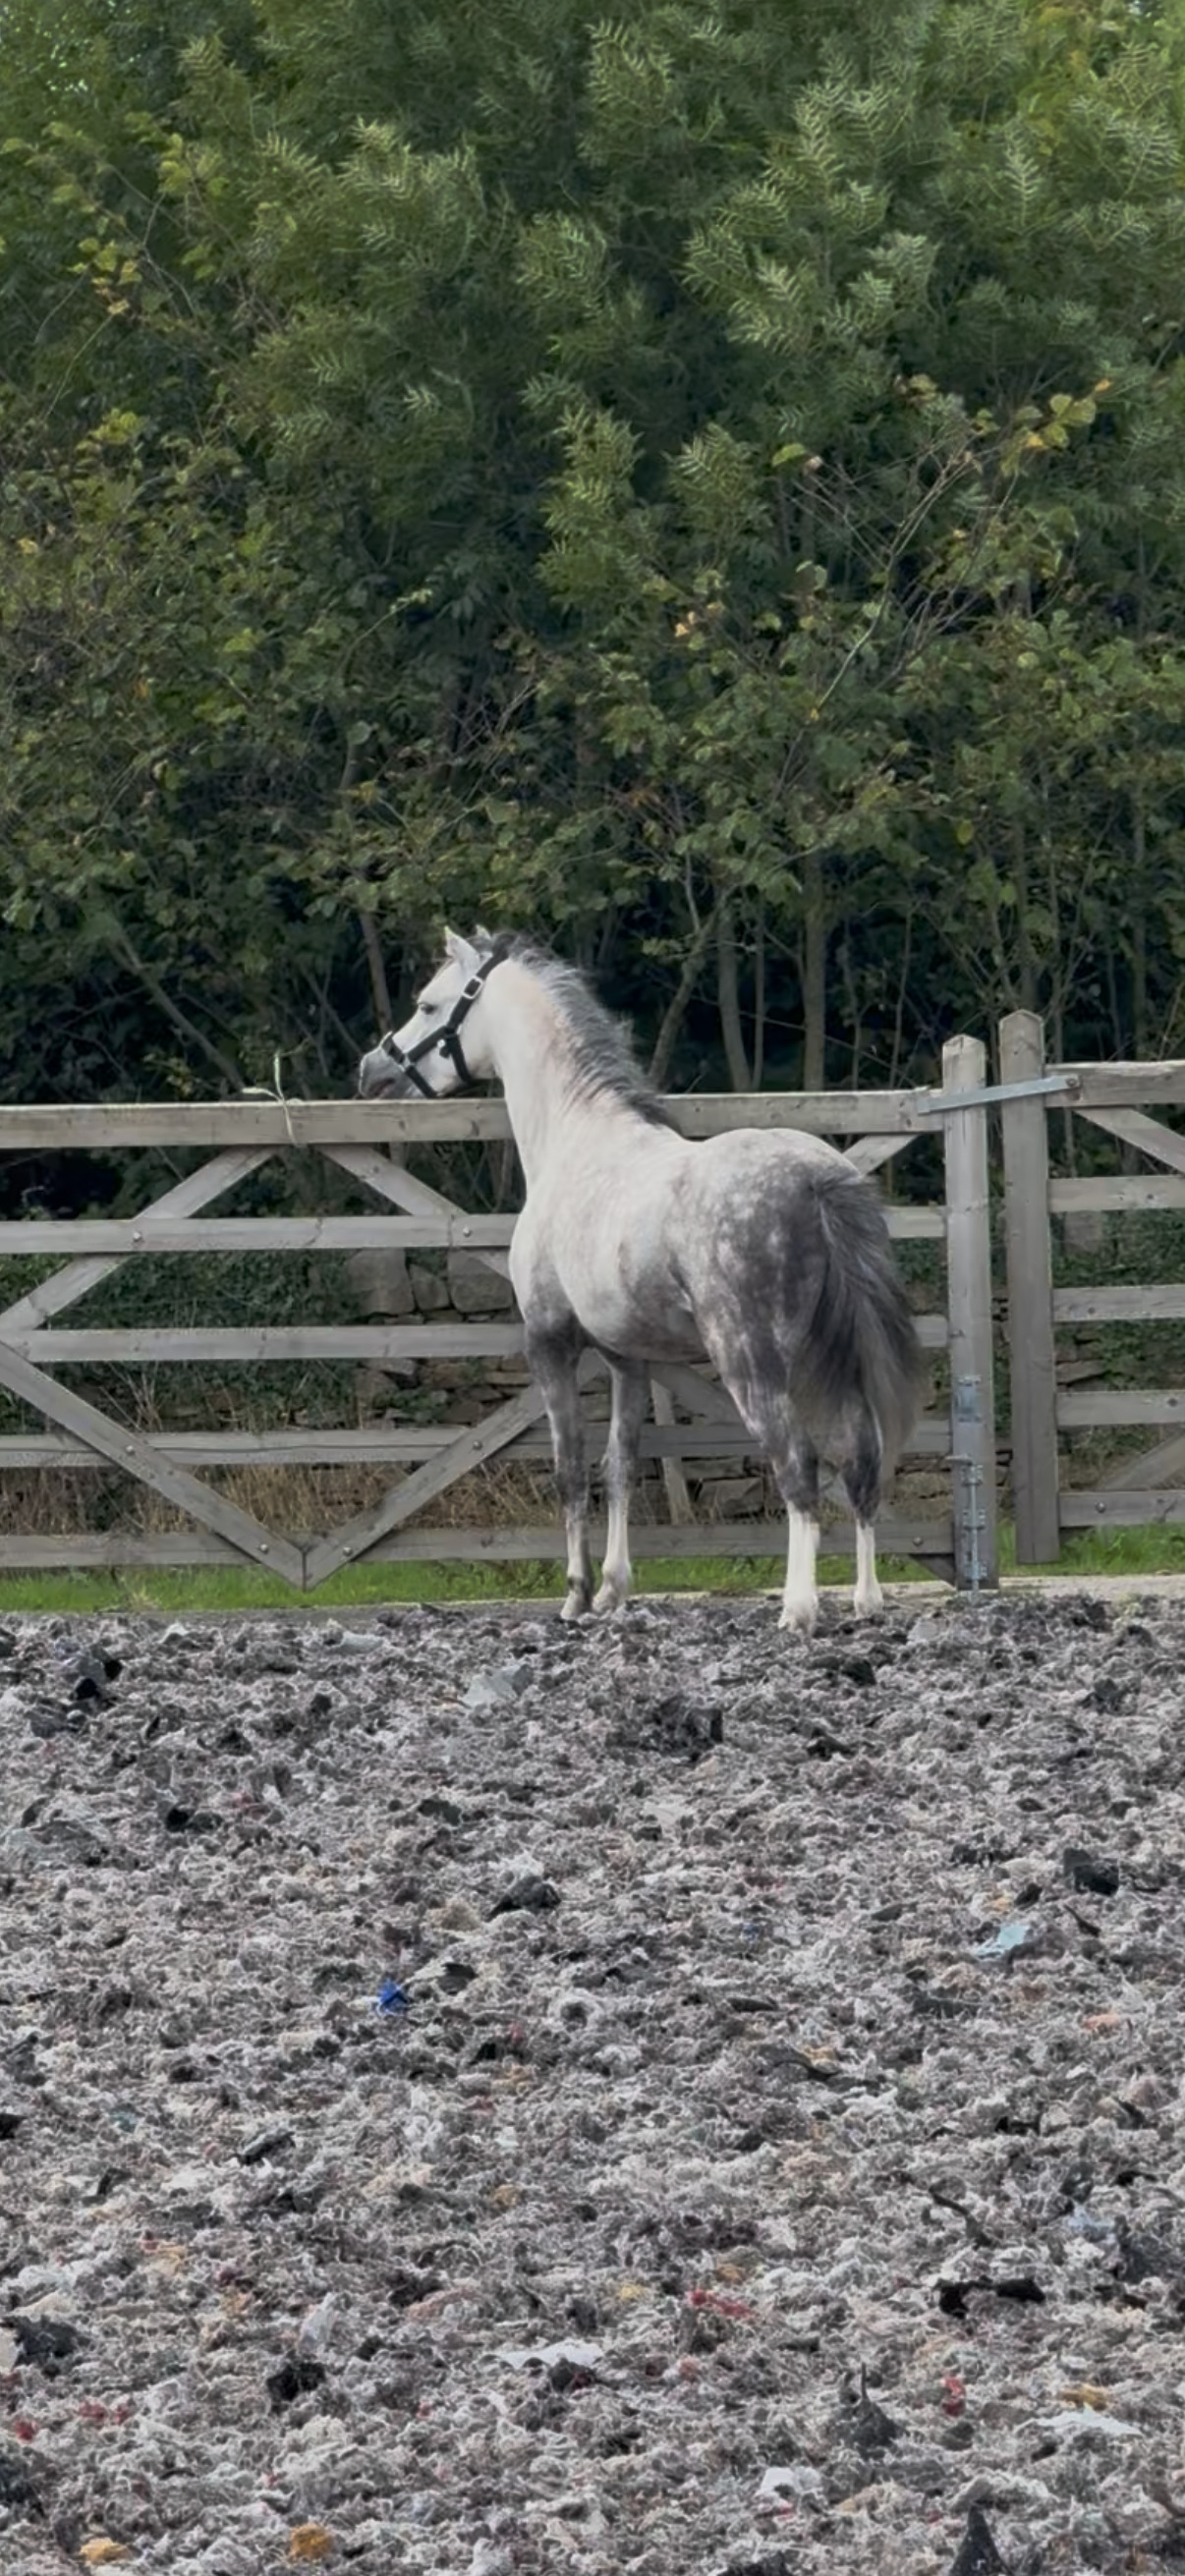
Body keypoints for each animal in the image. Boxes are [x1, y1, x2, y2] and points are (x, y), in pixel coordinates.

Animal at [357, 929, 919, 1632]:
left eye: (429, 1006)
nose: (371, 1070)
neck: (575, 1138)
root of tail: (817, 1180)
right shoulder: (627, 1359)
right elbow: (620, 1465)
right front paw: (612, 1589)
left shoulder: (550, 1343)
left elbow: (571, 1468)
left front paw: (575, 1595)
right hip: (829, 1359)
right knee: (860, 1459)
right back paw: (867, 1601)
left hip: (752, 1363)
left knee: (799, 1467)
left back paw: (798, 1607)